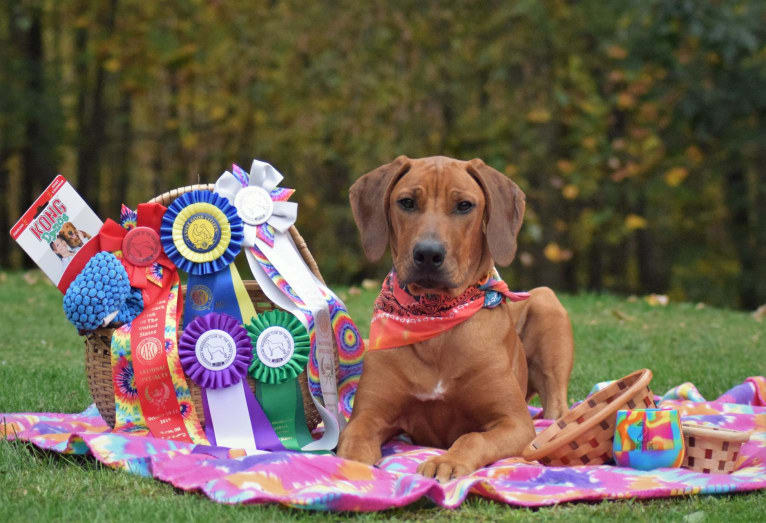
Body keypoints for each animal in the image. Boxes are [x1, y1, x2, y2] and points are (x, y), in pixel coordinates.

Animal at [340, 155, 572, 484]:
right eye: (407, 202)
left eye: (464, 205)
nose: (428, 254)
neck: (437, 315)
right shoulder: (368, 415)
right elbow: (354, 439)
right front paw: (355, 468)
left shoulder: (514, 422)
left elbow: (472, 437)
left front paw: (446, 461)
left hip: (545, 301)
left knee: (556, 408)